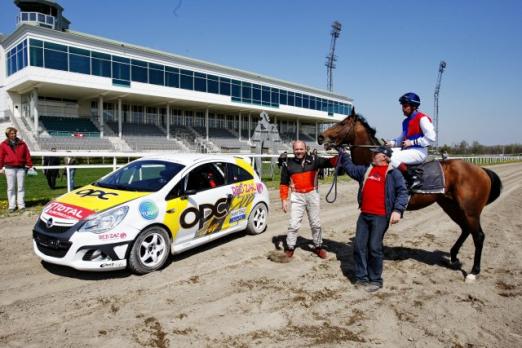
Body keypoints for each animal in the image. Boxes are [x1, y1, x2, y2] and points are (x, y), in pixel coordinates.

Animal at [314, 113, 502, 282]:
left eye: (343, 123)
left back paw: (473, 272)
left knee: (478, 236)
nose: (321, 137)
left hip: (470, 210)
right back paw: (454, 258)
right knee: (465, 229)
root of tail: (482, 170)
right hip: (451, 206)